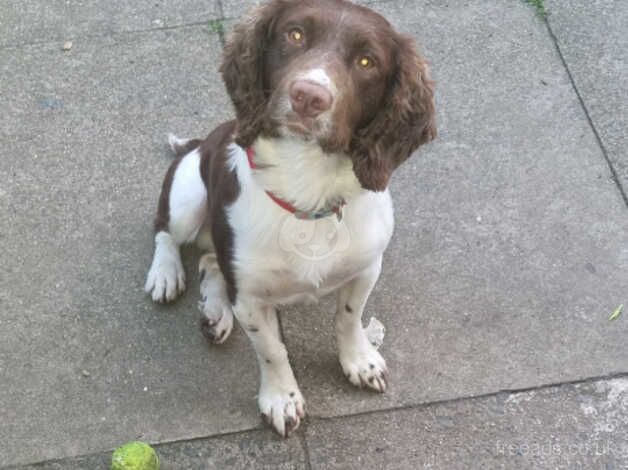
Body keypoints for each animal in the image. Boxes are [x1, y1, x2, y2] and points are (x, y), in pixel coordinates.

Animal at [146, 0, 436, 436]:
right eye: (295, 34)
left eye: (367, 61)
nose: (309, 96)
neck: (306, 183)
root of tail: (197, 142)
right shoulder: (249, 297)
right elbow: (272, 350)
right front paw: (281, 399)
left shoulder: (366, 267)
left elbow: (349, 319)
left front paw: (360, 361)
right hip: (188, 192)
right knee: (166, 231)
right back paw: (166, 274)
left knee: (210, 259)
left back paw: (214, 311)